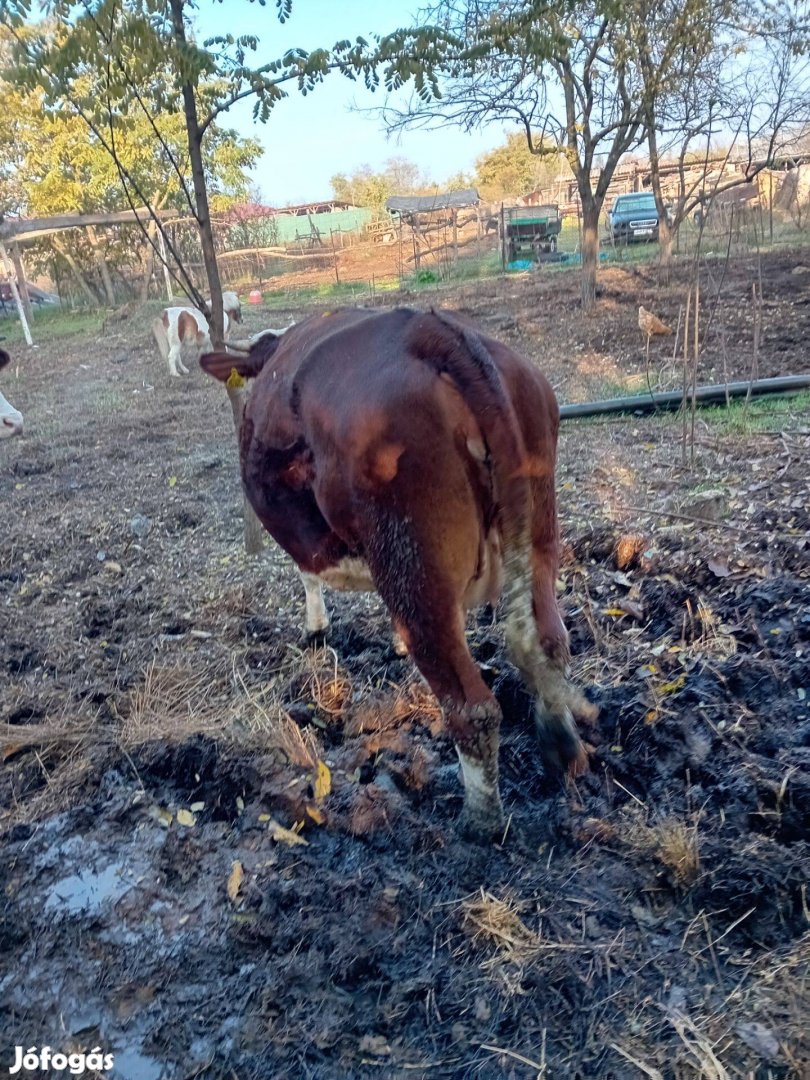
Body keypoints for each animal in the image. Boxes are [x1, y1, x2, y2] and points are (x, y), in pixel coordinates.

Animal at [201, 308, 596, 838]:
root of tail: (432, 332)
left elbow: (307, 575)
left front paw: (316, 629)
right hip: (538, 533)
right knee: (549, 642)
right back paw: (563, 748)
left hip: (413, 565)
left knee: (472, 708)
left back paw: (480, 820)